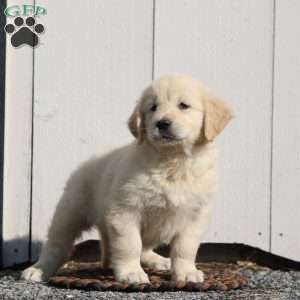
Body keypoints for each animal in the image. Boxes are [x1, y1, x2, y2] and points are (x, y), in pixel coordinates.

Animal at [22, 74, 234, 284]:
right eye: (153, 107)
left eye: (184, 105)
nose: (162, 123)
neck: (172, 160)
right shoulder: (125, 210)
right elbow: (129, 244)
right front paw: (132, 273)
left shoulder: (196, 215)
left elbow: (185, 248)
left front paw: (187, 272)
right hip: (71, 211)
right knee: (56, 243)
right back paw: (38, 270)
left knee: (143, 248)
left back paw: (159, 260)